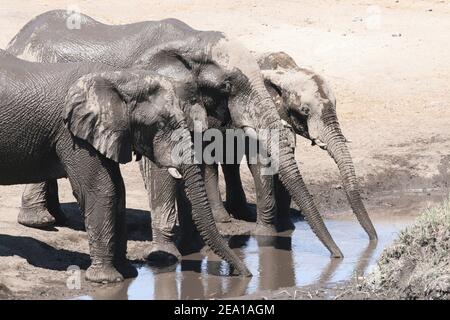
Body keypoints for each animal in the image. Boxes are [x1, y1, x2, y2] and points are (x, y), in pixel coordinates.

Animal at [0, 48, 250, 282]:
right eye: (162, 124)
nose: (246, 275)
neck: (119, 79)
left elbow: (118, 190)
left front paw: (128, 273)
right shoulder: (73, 135)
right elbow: (101, 190)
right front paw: (107, 279)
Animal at [7, 10, 344, 258]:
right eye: (227, 85)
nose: (338, 256)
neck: (192, 43)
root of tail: (19, 37)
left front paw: (195, 247)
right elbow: (161, 169)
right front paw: (167, 253)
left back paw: (54, 219)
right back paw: (41, 222)